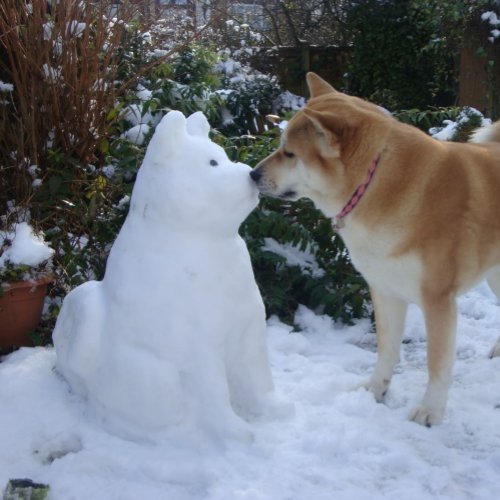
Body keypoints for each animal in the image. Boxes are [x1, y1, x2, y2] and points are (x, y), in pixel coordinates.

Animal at [54, 110, 278, 442]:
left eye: (223, 157)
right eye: (213, 163)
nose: (251, 174)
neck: (200, 237)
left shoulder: (249, 329)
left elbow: (257, 376)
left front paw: (273, 409)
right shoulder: (202, 343)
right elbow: (214, 393)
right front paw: (235, 432)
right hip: (155, 379)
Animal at [252, 72, 500, 428]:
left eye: (289, 153)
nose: (252, 173)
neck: (374, 181)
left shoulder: (437, 300)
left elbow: (437, 365)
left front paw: (430, 412)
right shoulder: (385, 290)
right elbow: (387, 351)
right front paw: (375, 390)